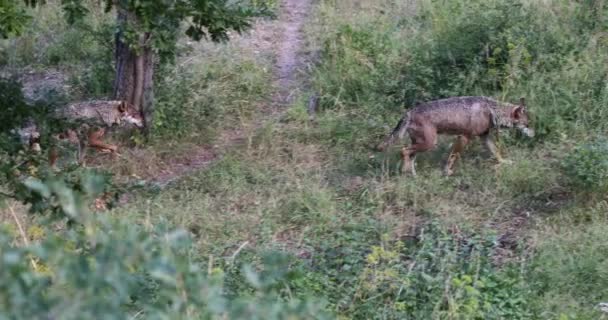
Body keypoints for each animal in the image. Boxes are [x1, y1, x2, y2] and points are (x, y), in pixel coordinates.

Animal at [378, 96, 536, 176]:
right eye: (527, 124)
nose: (534, 134)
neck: (491, 110)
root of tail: (408, 112)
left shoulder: (484, 137)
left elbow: (496, 152)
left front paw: (504, 162)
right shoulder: (464, 137)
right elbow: (452, 157)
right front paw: (447, 172)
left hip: (422, 144)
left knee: (409, 156)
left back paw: (412, 175)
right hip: (429, 144)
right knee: (403, 150)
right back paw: (405, 170)